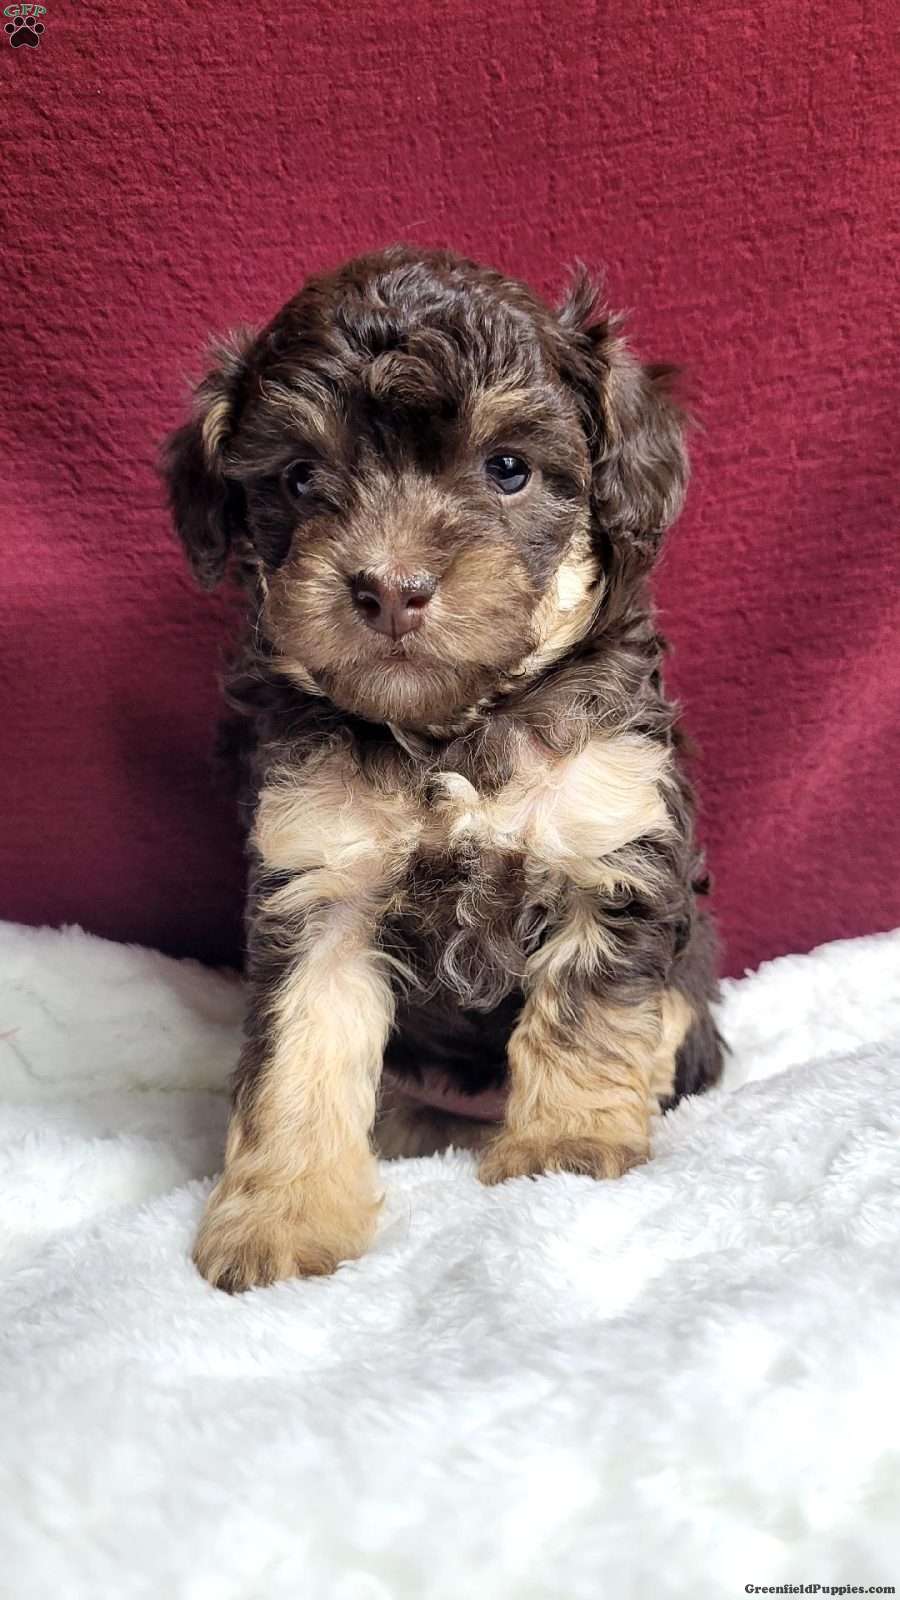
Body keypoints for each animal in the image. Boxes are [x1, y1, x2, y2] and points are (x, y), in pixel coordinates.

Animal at [164, 245, 723, 1292]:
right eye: (300, 477)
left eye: (508, 468)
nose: (391, 588)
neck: (452, 729)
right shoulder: (320, 888)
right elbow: (298, 1058)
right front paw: (282, 1218)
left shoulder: (608, 844)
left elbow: (586, 1011)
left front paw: (564, 1148)